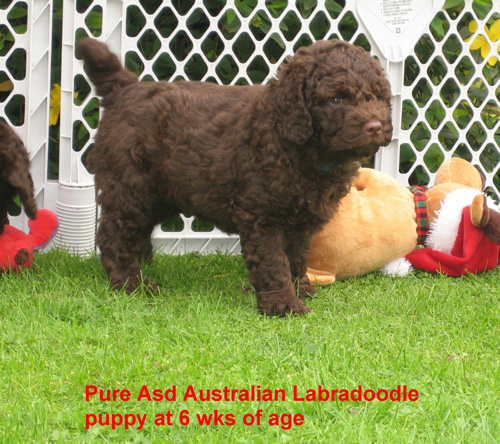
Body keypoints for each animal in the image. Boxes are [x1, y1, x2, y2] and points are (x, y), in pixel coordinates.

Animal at [76, 37, 392, 316]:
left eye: (378, 97)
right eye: (336, 99)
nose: (375, 126)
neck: (297, 147)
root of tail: (125, 89)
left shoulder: (302, 222)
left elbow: (296, 258)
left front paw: (300, 289)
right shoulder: (263, 217)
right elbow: (274, 262)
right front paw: (283, 304)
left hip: (160, 192)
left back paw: (145, 264)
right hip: (130, 186)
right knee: (113, 235)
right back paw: (133, 283)